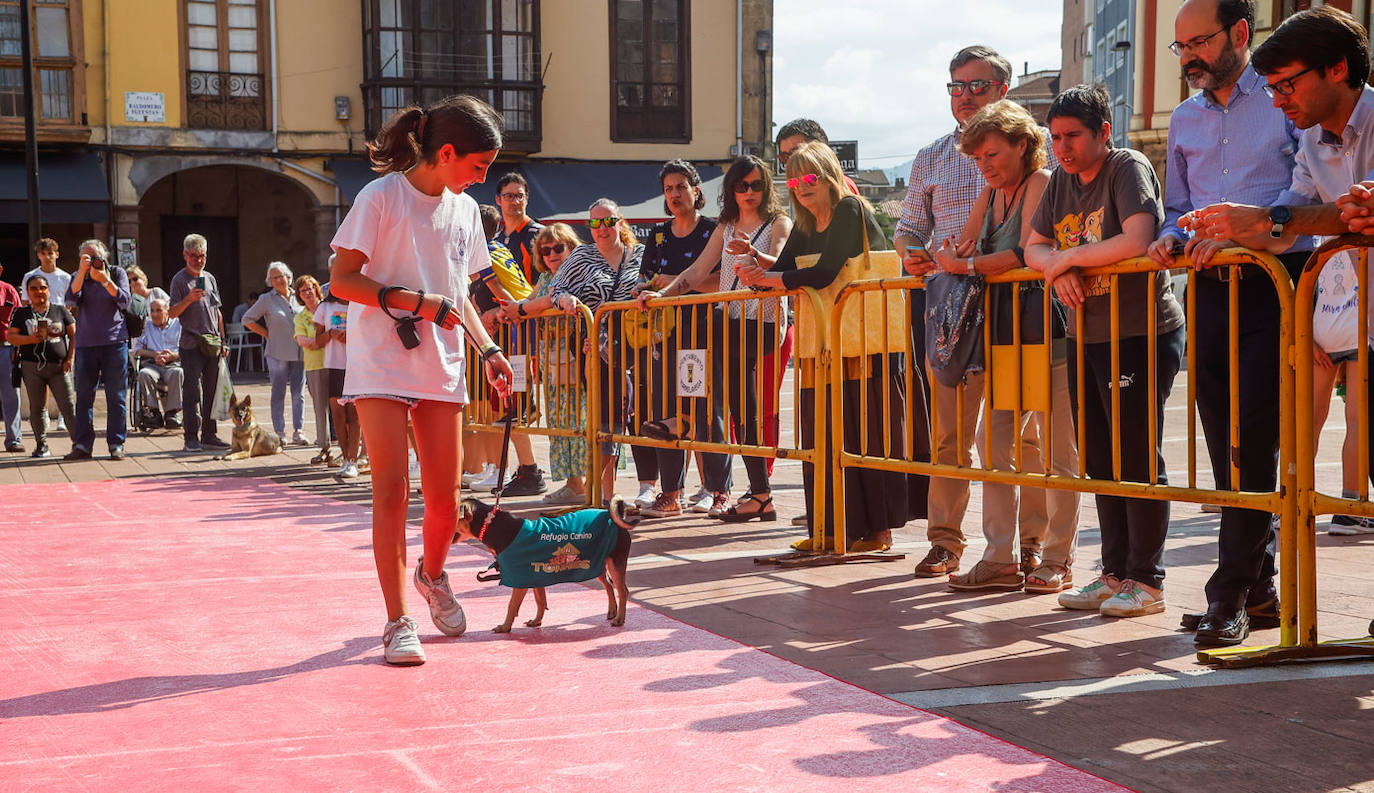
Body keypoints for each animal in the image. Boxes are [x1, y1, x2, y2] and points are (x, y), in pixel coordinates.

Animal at [456, 494, 637, 632]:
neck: (492, 525)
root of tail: (612, 517)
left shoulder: (520, 580)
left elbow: (512, 606)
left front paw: (505, 627)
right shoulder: (535, 576)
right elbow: (540, 601)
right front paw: (537, 621)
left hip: (614, 564)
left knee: (623, 590)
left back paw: (619, 619)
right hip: (598, 564)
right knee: (609, 585)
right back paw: (612, 611)